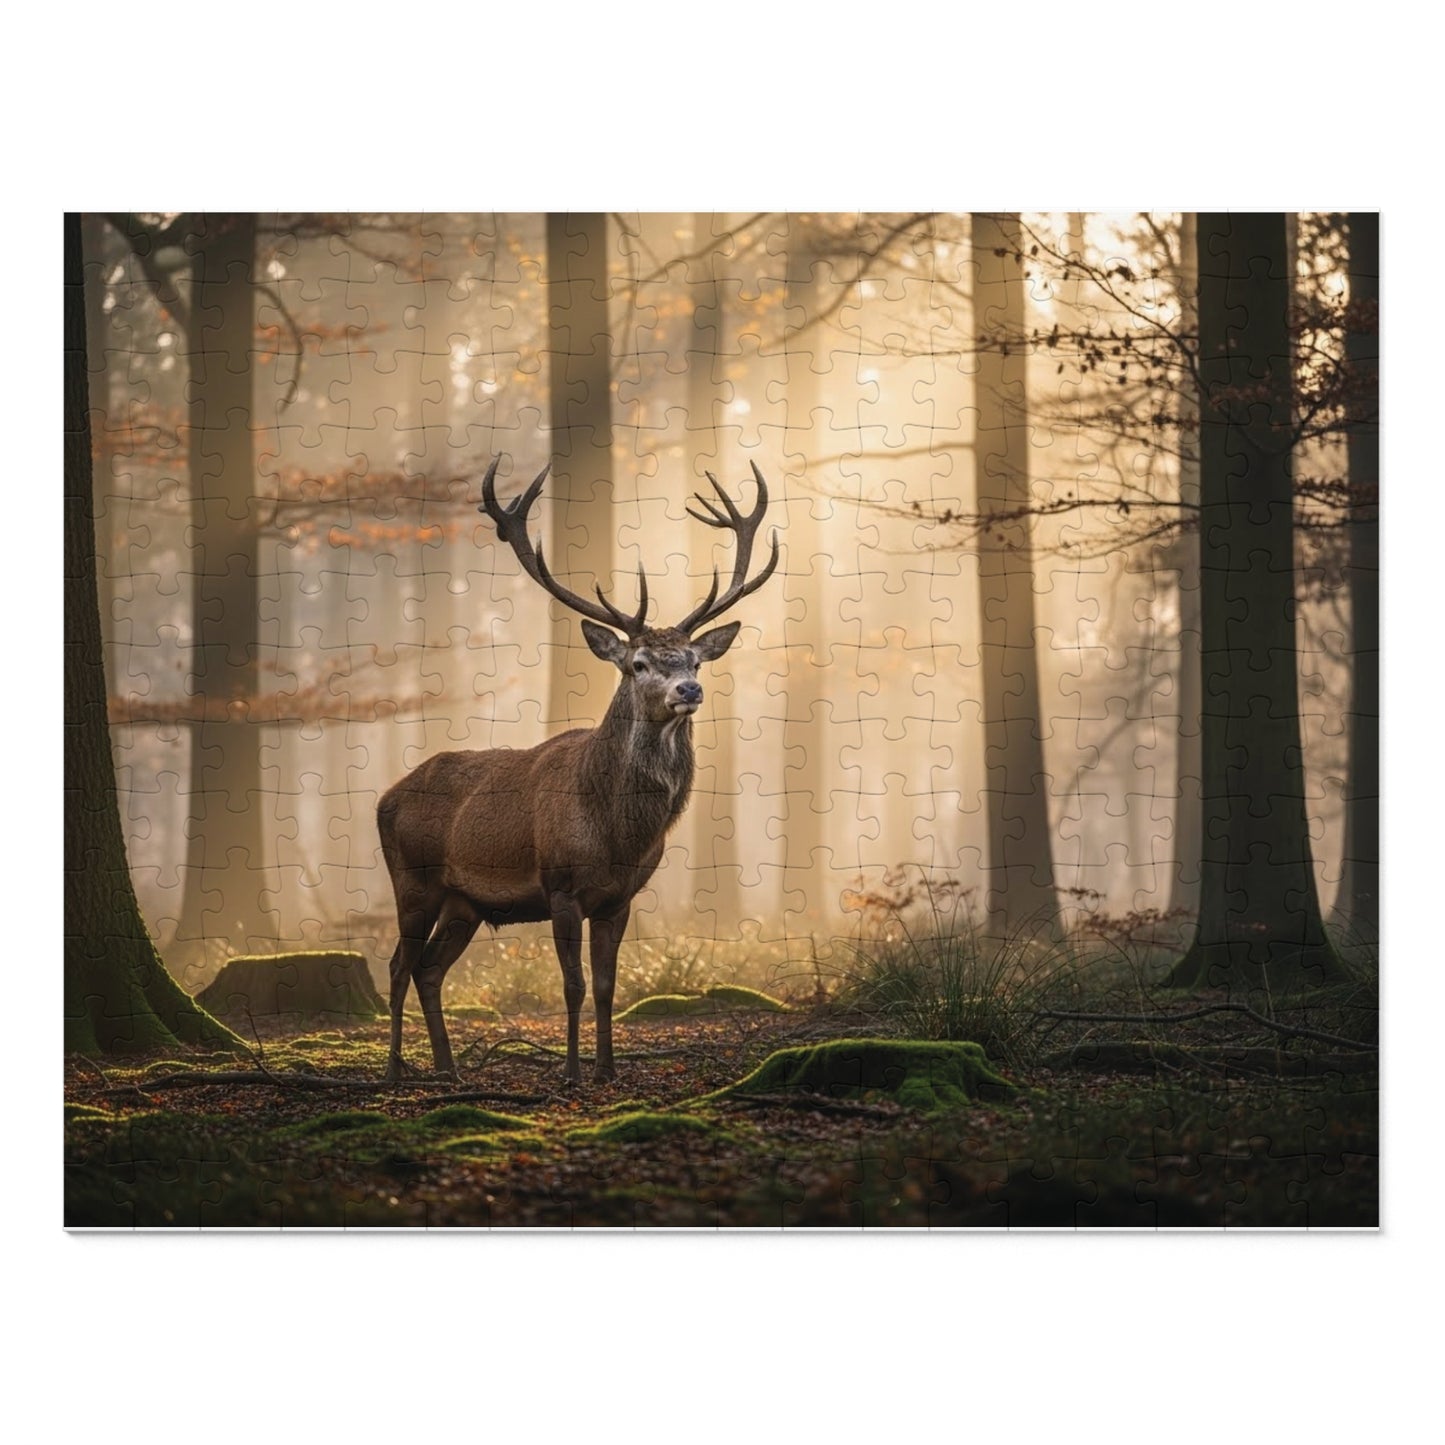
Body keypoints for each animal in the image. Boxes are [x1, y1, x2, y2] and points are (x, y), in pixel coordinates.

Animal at [376, 456, 780, 1085]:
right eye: (638, 663)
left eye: (693, 660)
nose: (689, 690)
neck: (617, 833)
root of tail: (384, 798)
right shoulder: (561, 885)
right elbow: (572, 985)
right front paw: (569, 1070)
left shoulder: (620, 897)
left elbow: (609, 986)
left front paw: (608, 1070)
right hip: (413, 879)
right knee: (398, 965)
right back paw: (397, 1069)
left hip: (465, 902)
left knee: (429, 969)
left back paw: (448, 1068)